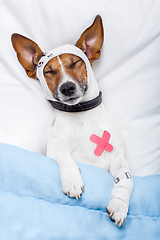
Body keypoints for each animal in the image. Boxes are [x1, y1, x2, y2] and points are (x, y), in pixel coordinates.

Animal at [11, 15, 133, 227]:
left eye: (75, 62)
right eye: (48, 72)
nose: (67, 88)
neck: (81, 114)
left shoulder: (118, 159)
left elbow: (126, 178)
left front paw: (119, 205)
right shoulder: (54, 149)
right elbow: (63, 156)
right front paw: (72, 179)